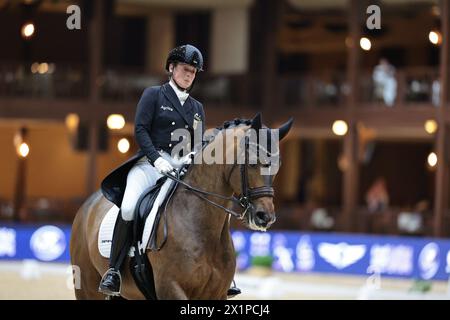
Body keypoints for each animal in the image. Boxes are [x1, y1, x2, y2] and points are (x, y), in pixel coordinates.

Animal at [70, 114, 294, 300]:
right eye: (254, 162)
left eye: (279, 164)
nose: (265, 217)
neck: (201, 226)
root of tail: (88, 205)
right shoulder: (171, 288)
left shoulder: (217, 294)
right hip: (87, 287)